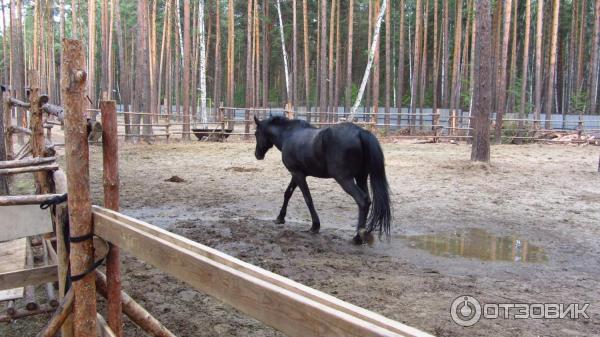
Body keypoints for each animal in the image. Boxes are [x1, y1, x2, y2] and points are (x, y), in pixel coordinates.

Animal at [252, 115, 390, 242]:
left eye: (256, 133)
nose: (257, 154)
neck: (289, 135)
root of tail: (360, 132)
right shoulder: (297, 174)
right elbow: (288, 194)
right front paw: (280, 218)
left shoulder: (297, 174)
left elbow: (308, 198)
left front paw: (315, 226)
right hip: (361, 177)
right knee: (367, 200)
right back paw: (363, 234)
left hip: (344, 179)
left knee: (362, 200)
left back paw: (357, 237)